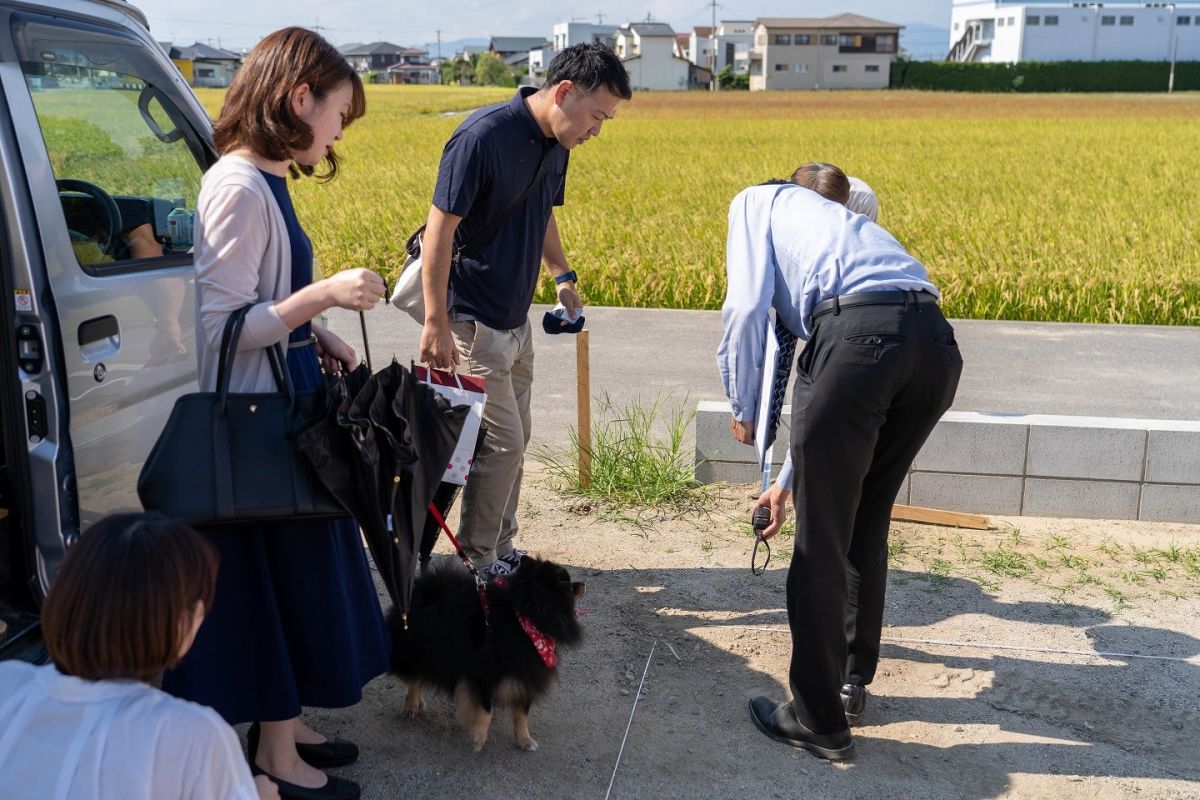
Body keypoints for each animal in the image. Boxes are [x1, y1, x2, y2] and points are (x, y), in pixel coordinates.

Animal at [386, 561, 583, 753]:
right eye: (568, 582)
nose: (582, 583)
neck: (526, 621)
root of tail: (423, 589)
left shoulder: (526, 675)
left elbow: (522, 714)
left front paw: (525, 741)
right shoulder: (483, 675)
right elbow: (486, 710)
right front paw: (478, 739)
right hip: (417, 652)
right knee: (415, 678)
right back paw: (411, 706)